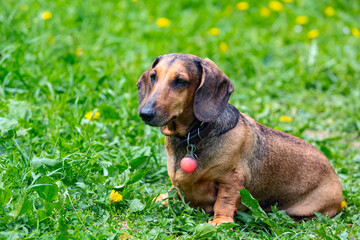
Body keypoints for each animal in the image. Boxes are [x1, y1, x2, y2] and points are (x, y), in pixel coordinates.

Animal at [137, 53, 344, 226]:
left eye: (180, 81)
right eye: (153, 76)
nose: (145, 114)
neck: (191, 137)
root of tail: (334, 174)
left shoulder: (232, 180)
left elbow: (224, 202)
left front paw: (220, 223)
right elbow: (174, 192)